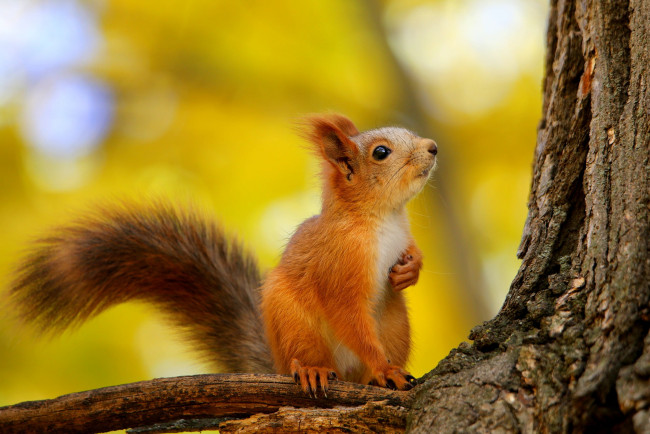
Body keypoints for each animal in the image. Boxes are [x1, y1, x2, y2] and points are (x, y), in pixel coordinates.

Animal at [8, 114, 436, 396]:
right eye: (381, 152)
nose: (432, 147)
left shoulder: (403, 236)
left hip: (396, 325)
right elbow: (349, 315)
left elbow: (411, 255)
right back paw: (314, 369)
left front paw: (410, 270)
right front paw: (384, 368)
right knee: (308, 357)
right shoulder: (339, 265)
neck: (382, 218)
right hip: (295, 326)